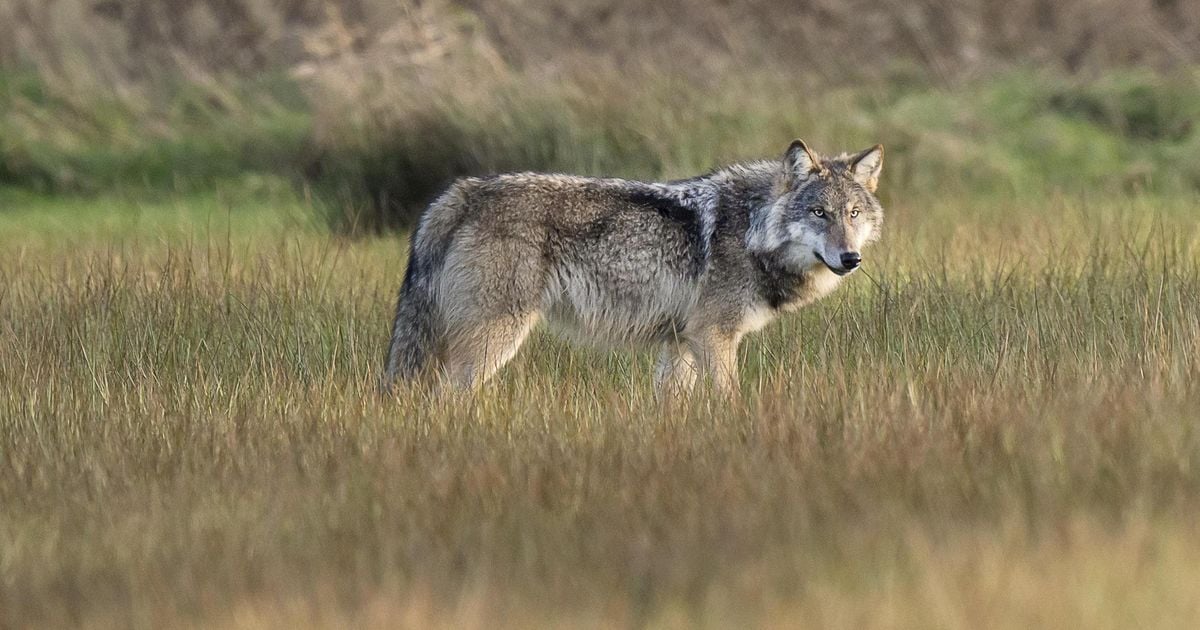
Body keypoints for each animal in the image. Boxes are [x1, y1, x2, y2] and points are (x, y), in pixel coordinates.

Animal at [381, 138, 883, 393]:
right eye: (819, 213)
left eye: (853, 214)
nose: (850, 258)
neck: (750, 228)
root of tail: (461, 192)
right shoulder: (714, 337)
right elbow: (729, 398)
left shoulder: (680, 343)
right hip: (494, 337)